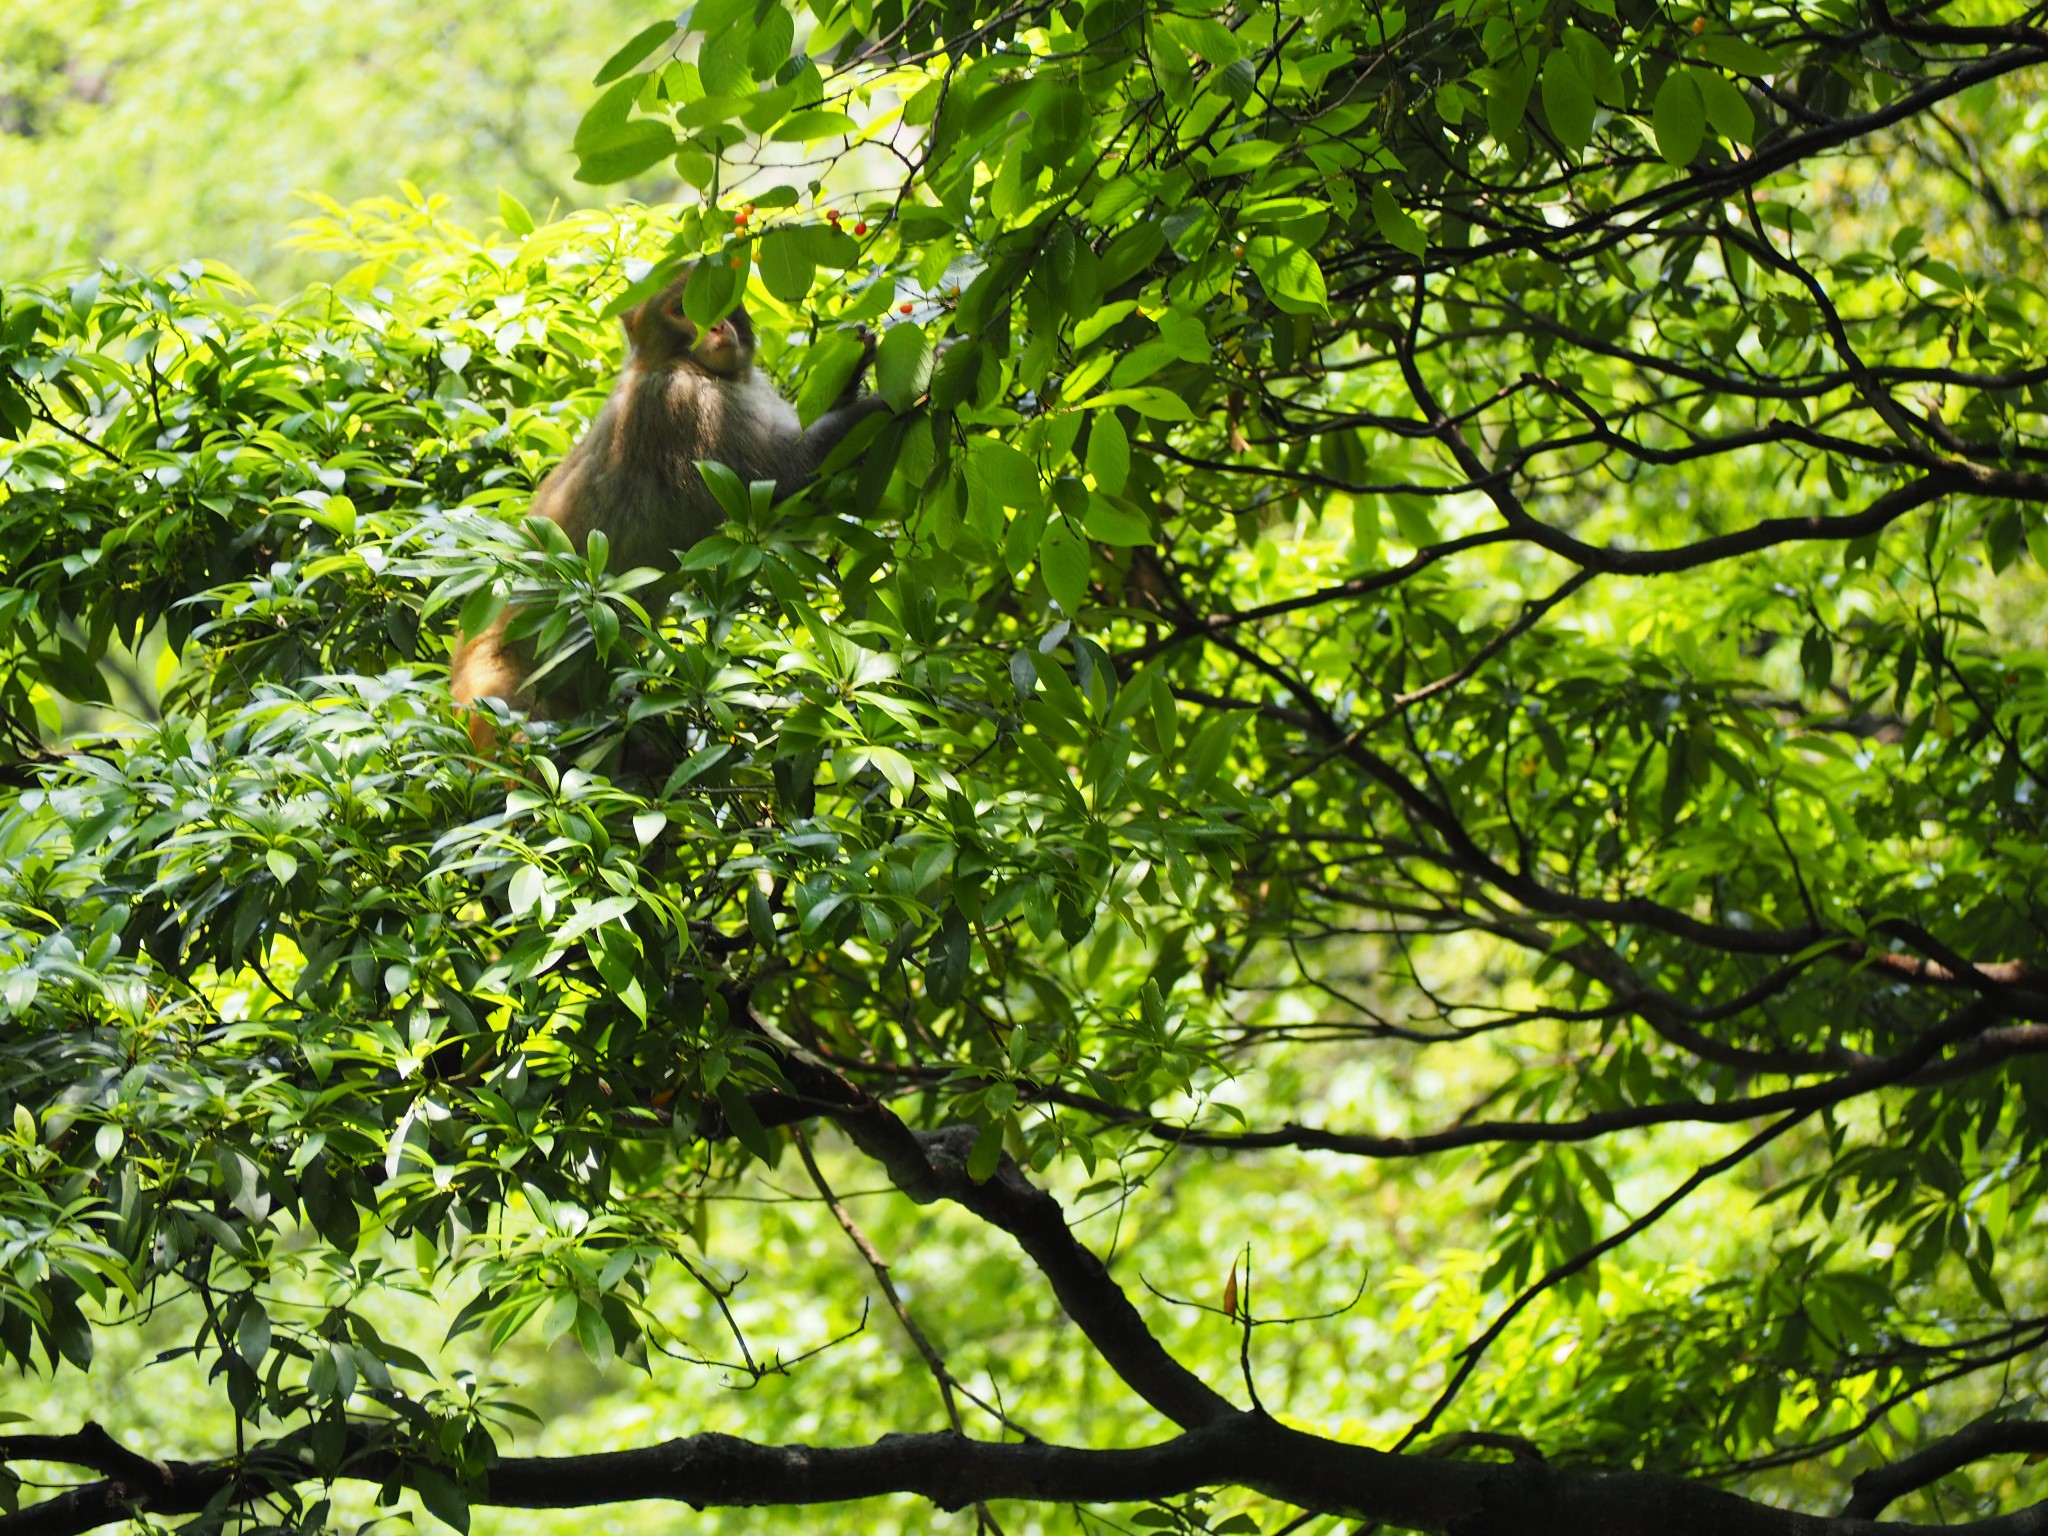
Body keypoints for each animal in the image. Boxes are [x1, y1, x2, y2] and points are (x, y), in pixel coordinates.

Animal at [452, 276, 892, 745]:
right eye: (682, 309)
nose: (716, 326)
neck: (688, 366)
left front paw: (854, 365)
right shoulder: (687, 405)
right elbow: (786, 488)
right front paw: (902, 394)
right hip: (503, 703)